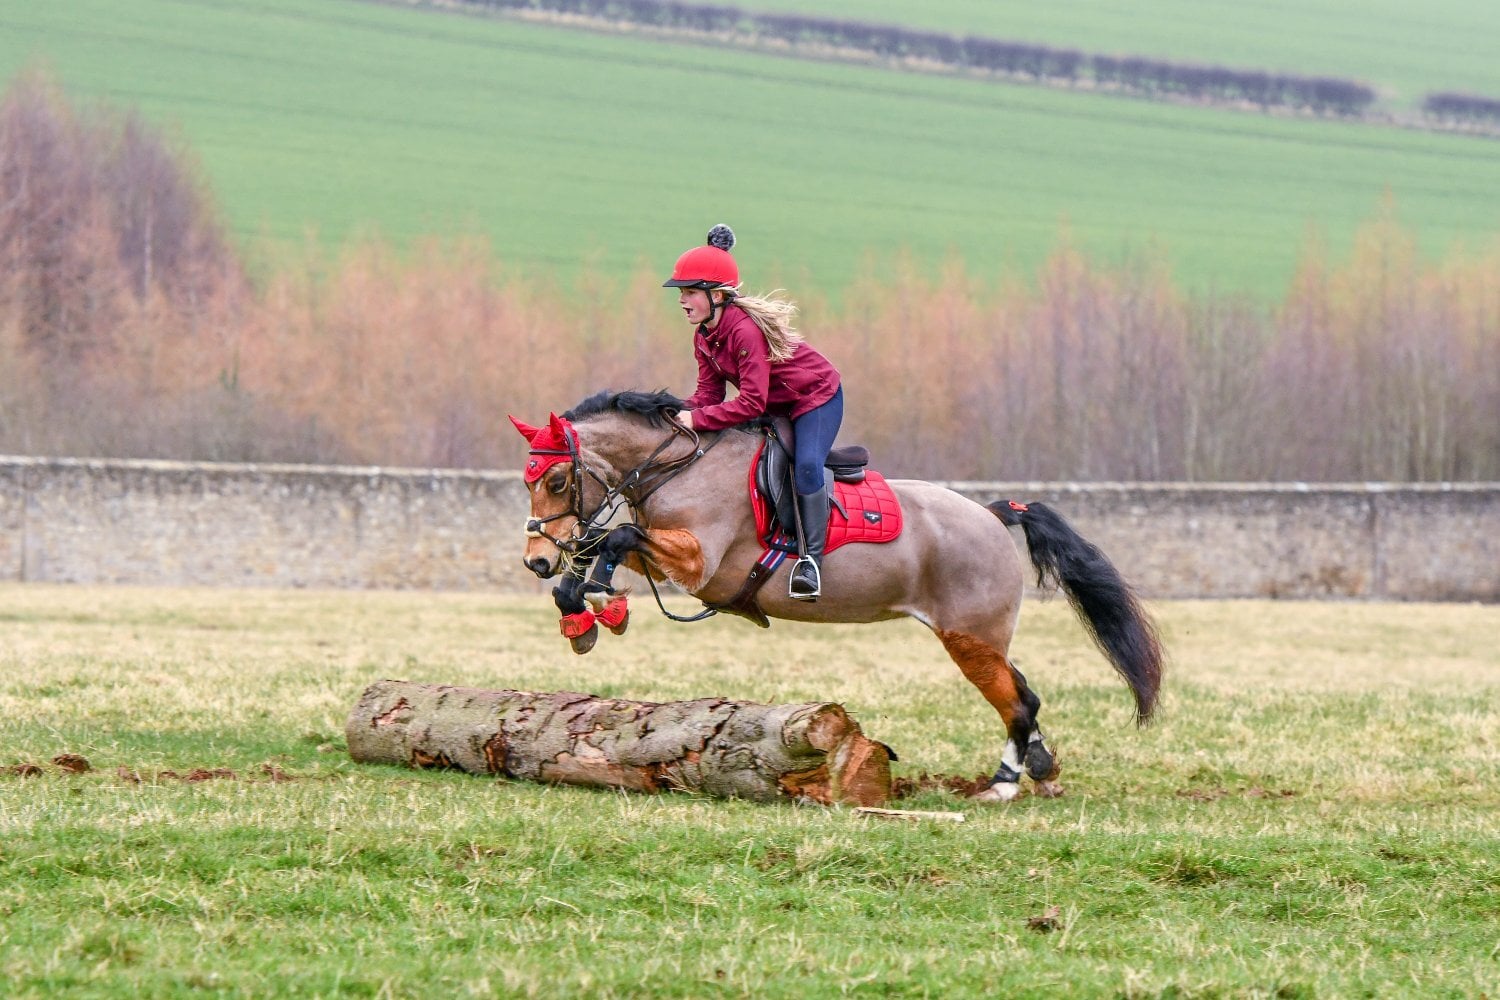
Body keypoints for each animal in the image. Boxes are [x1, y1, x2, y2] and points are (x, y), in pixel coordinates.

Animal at [510, 389, 1163, 802]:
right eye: (528, 480)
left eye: (558, 480)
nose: (536, 560)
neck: (678, 465)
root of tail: (995, 514)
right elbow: (603, 543)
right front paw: (581, 610)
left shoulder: (701, 563)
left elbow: (615, 535)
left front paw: (600, 601)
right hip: (981, 637)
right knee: (1023, 693)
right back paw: (1044, 772)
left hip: (968, 636)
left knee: (1017, 702)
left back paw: (1002, 786)